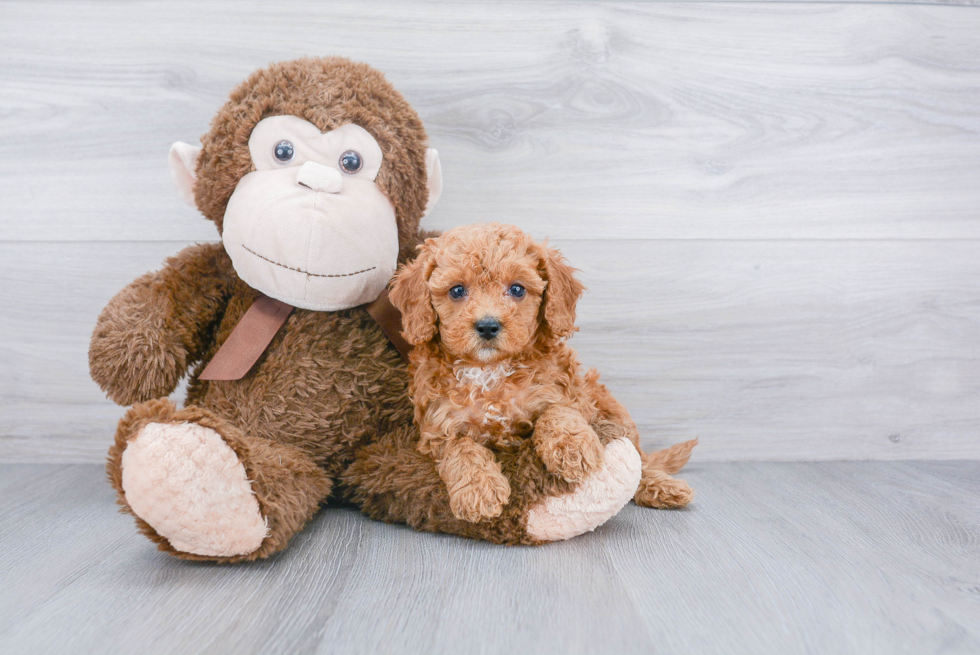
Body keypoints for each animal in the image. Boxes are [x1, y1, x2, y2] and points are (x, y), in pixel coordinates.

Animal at [390, 223, 696, 524]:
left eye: (517, 289)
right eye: (456, 291)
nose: (487, 326)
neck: (490, 370)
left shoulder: (565, 391)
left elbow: (557, 411)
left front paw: (572, 449)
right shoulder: (439, 427)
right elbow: (462, 450)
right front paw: (479, 490)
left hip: (610, 406)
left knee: (641, 460)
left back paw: (662, 486)